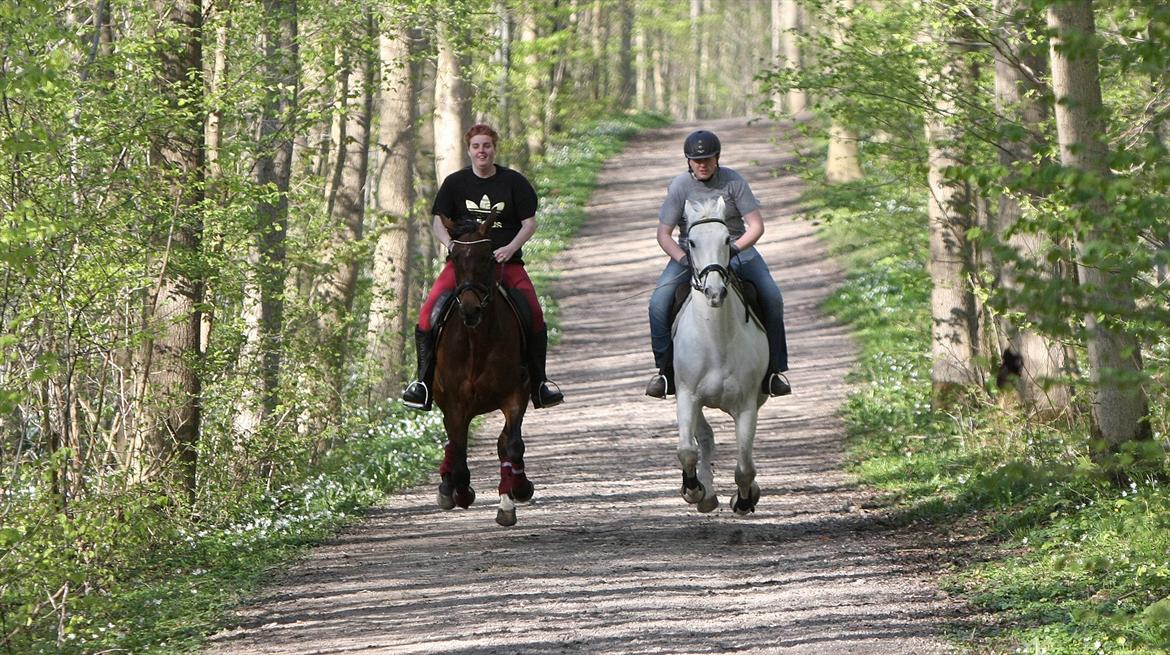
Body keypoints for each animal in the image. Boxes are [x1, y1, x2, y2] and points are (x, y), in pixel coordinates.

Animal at [435, 215, 535, 526]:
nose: (470, 310)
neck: (477, 340)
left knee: (503, 444)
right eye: (454, 257)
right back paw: (449, 489)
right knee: (454, 447)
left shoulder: (515, 393)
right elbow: (459, 453)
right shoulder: (455, 404)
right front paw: (462, 492)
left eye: (488, 258)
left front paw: (517, 493)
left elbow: (512, 445)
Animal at [673, 196, 772, 514]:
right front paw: (694, 490)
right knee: (705, 439)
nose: (714, 292)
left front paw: (744, 499)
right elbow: (688, 450)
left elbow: (745, 466)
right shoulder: (687, 395)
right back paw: (705, 492)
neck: (717, 342)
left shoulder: (747, 404)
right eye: (691, 242)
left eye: (727, 239)